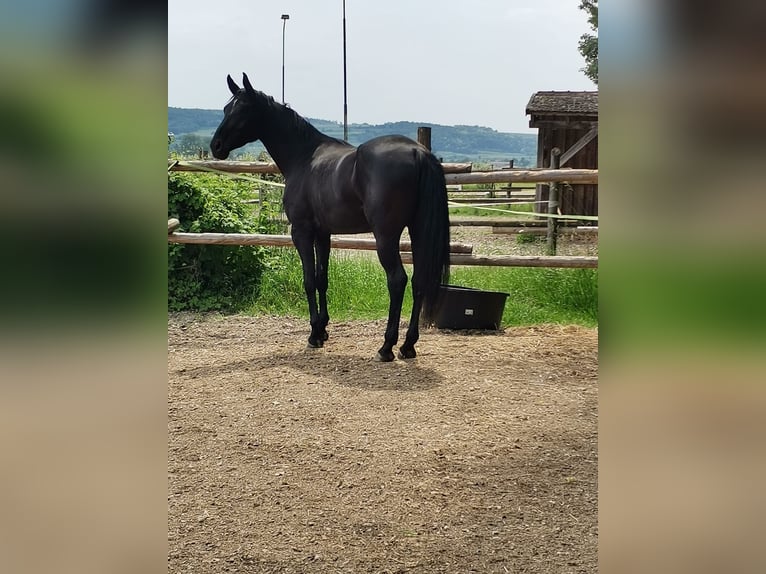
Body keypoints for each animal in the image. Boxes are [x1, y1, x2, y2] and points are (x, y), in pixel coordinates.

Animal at [210, 74, 450, 362]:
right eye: (226, 108)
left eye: (242, 109)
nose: (216, 146)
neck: (304, 157)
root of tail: (418, 153)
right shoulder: (323, 234)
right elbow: (322, 278)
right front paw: (323, 330)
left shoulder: (301, 232)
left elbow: (309, 280)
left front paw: (314, 334)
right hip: (417, 230)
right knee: (419, 280)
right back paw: (408, 346)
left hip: (386, 236)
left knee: (397, 280)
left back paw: (387, 347)